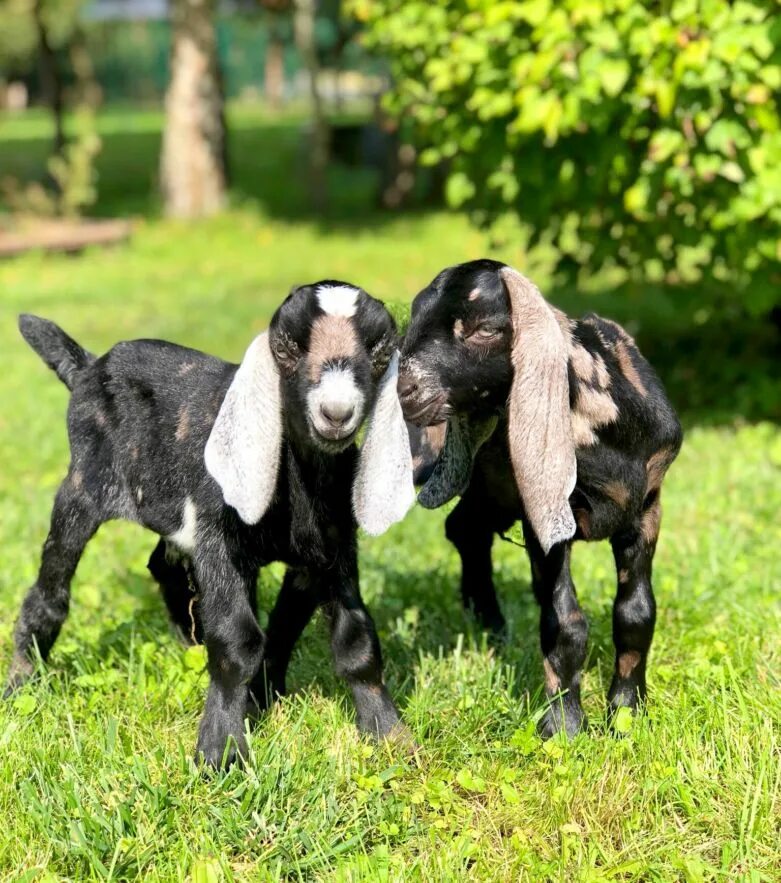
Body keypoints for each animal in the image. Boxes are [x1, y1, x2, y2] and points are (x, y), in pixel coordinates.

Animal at [4, 284, 414, 768]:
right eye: (285, 348)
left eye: (380, 351)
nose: (335, 413)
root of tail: (88, 366)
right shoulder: (220, 540)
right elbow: (238, 641)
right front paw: (221, 751)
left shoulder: (327, 549)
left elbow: (349, 640)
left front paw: (388, 734)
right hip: (84, 486)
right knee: (50, 589)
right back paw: (20, 683)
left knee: (163, 564)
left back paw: (189, 640)